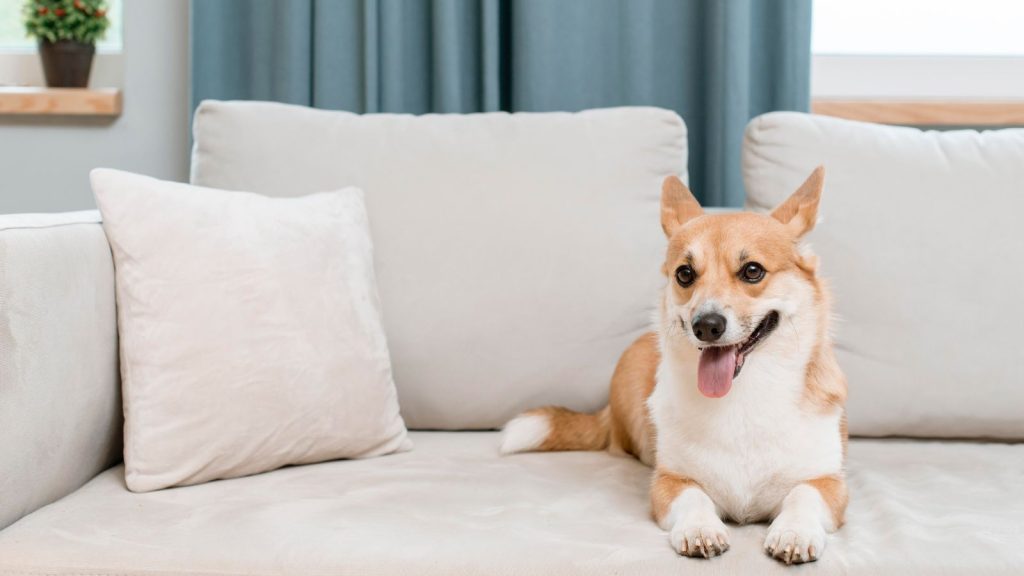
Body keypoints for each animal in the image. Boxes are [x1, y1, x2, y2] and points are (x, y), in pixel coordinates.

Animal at [501, 166, 847, 561]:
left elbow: (803, 495)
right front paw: (701, 529)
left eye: (752, 271)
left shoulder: (830, 483)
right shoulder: (669, 481)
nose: (706, 325)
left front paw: (794, 532)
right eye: (685, 274)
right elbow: (694, 497)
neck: (743, 394)